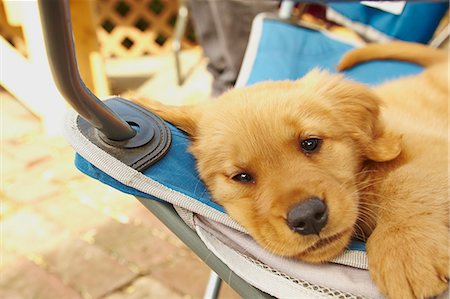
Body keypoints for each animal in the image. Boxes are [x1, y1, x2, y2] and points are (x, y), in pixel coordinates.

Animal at [136, 42, 446, 299]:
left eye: (310, 143)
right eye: (241, 176)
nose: (307, 217)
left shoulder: (429, 145)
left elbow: (405, 179)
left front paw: (405, 251)